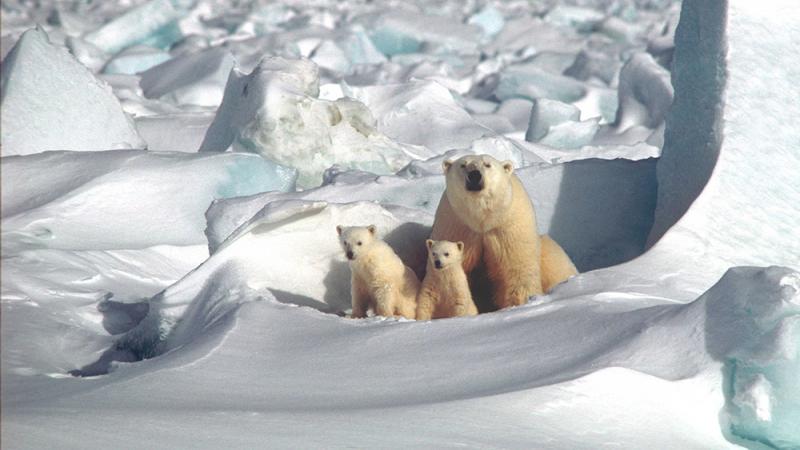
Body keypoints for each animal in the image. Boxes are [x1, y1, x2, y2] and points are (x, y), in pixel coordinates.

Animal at [432, 153, 576, 312]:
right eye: (463, 165)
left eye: (487, 164)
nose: (474, 175)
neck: (482, 220)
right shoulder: (457, 226)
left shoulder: (508, 228)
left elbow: (516, 270)